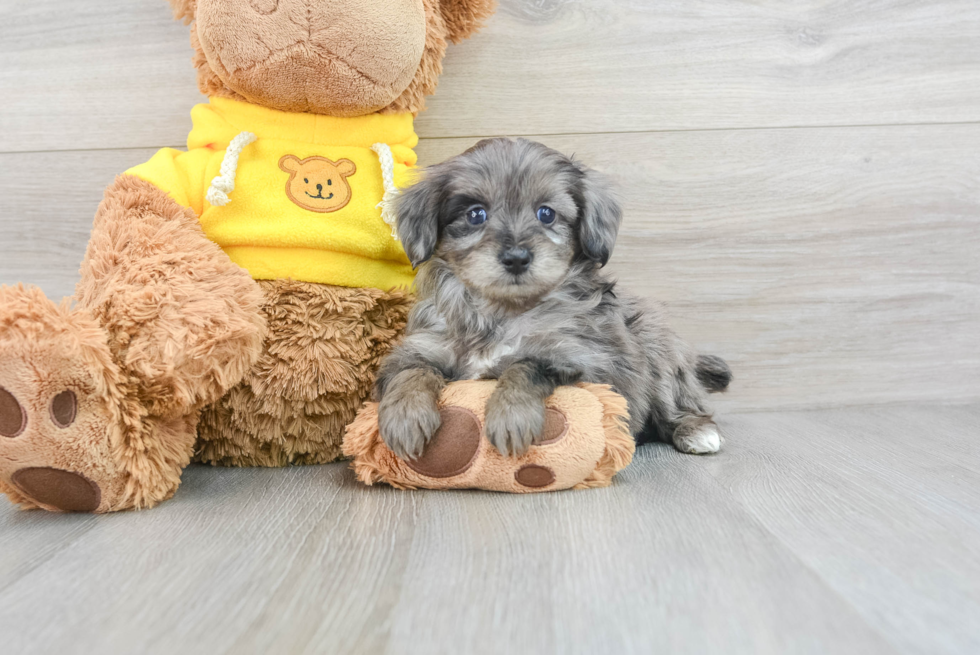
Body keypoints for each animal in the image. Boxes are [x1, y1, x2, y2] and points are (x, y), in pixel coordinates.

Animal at [372, 138, 732, 462]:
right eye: (476, 215)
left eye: (546, 214)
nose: (517, 258)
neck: (502, 312)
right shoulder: (422, 348)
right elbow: (410, 373)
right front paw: (405, 418)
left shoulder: (584, 361)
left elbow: (525, 365)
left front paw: (511, 416)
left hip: (657, 347)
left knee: (677, 404)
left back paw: (697, 431)